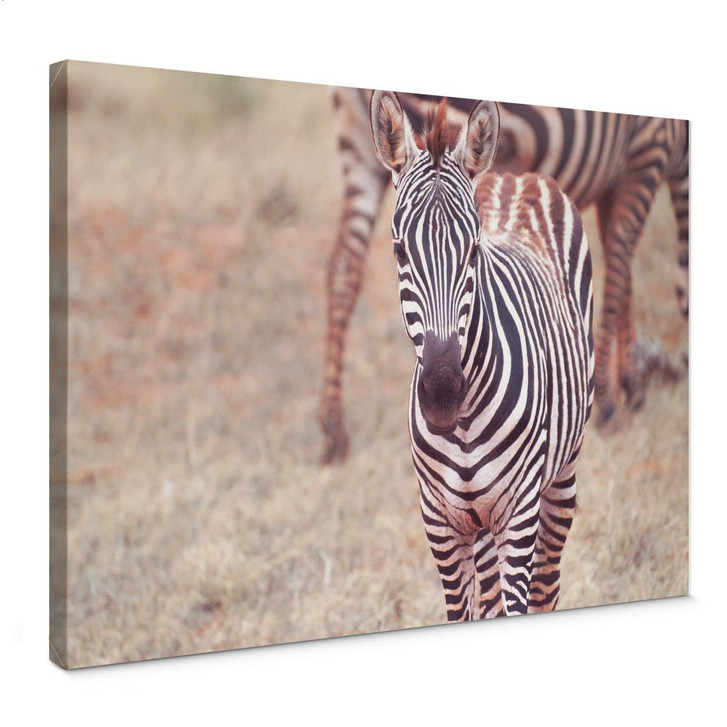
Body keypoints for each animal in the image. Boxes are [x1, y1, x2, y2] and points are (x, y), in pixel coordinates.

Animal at [320, 87, 688, 464]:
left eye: (474, 251)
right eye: (400, 252)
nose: (442, 392)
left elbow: (624, 272)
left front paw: (632, 382)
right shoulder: (647, 153)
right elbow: (624, 265)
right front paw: (615, 400)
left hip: (360, 150)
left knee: (343, 270)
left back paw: (334, 431)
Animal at [369, 91, 594, 619]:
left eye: (474, 250)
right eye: (399, 252)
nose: (443, 392)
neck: (465, 422)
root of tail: (515, 174)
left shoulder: (518, 513)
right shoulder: (439, 521)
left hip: (562, 476)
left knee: (546, 588)